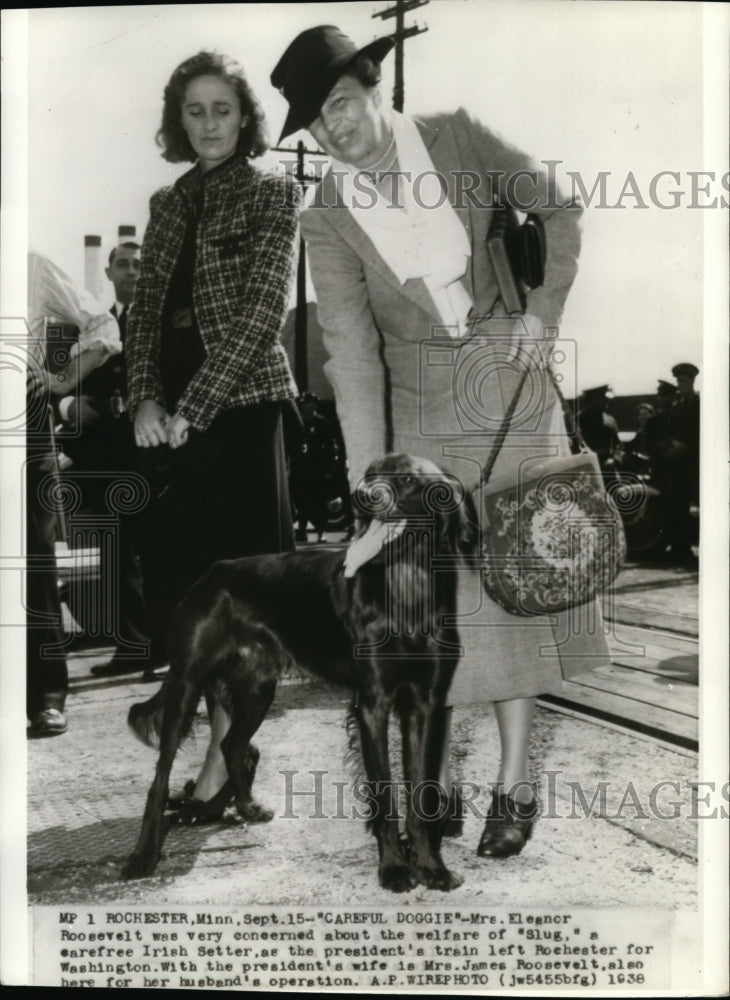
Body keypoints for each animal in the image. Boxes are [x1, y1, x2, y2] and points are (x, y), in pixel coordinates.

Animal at [122, 454, 474, 892]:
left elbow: (420, 793)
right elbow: (383, 793)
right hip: (186, 684)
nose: (359, 496)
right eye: (370, 473)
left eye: (407, 479)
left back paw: (246, 808)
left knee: (233, 746)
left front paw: (430, 867)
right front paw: (394, 867)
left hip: (258, 689)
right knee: (161, 776)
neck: (404, 585)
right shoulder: (372, 704)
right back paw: (143, 855)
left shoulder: (423, 704)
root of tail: (209, 575)